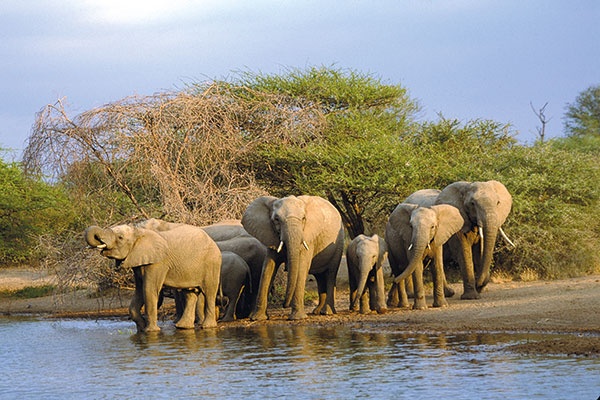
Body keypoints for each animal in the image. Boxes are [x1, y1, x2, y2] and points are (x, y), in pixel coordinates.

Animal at [85, 223, 223, 332]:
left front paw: (151, 331)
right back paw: (183, 327)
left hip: (212, 263)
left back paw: (207, 327)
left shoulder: (157, 263)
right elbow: (139, 292)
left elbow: (148, 290)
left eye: (120, 237)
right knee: (190, 293)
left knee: (209, 292)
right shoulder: (138, 262)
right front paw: (141, 328)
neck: (139, 233)